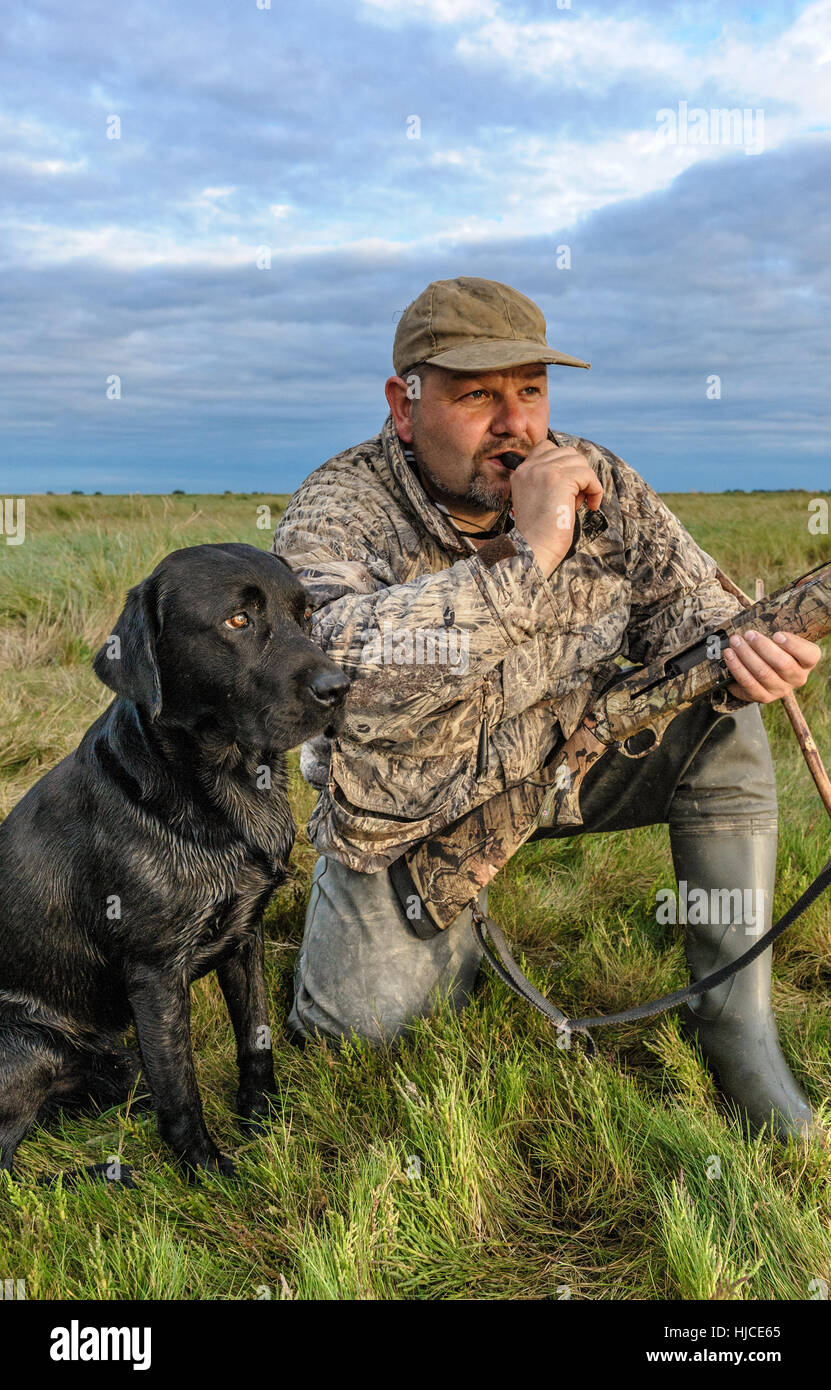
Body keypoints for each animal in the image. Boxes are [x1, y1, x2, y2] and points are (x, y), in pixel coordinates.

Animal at [0, 539, 350, 1173]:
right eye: (237, 621)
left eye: (306, 614)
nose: (340, 687)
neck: (224, 790)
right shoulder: (155, 973)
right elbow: (180, 1086)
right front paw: (209, 1172)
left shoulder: (244, 935)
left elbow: (255, 1038)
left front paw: (262, 1119)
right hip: (29, 1043)